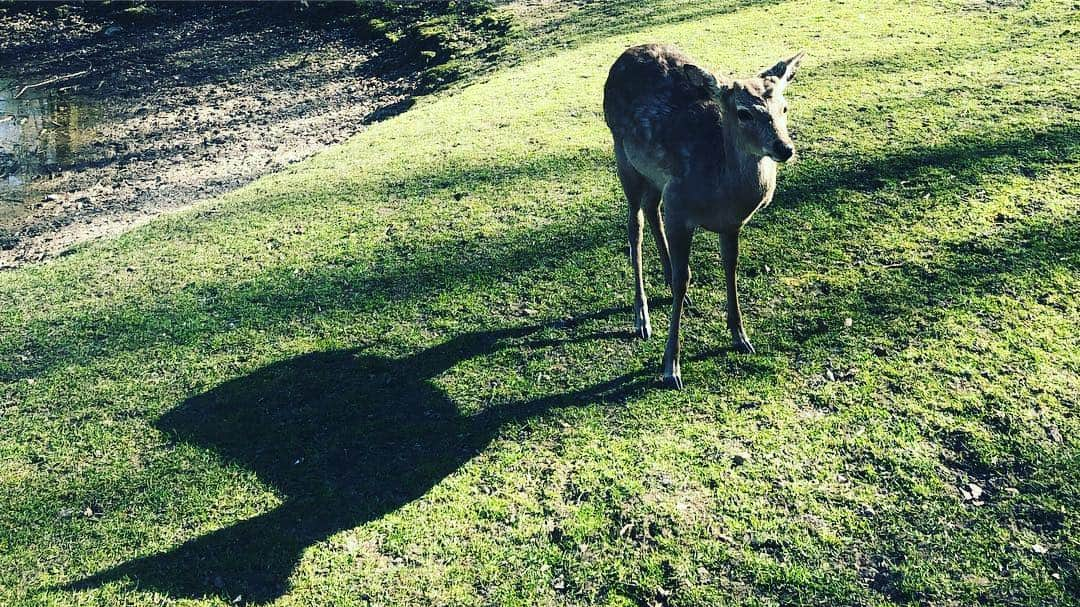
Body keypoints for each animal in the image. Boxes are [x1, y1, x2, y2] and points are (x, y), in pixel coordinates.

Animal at [604, 44, 807, 388]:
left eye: (784, 107)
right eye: (744, 112)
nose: (785, 148)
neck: (721, 189)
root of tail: (625, 54)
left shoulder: (730, 223)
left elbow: (730, 266)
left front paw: (741, 336)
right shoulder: (680, 205)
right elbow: (683, 278)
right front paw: (671, 366)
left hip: (656, 178)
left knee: (651, 209)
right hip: (624, 157)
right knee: (635, 225)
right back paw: (641, 317)